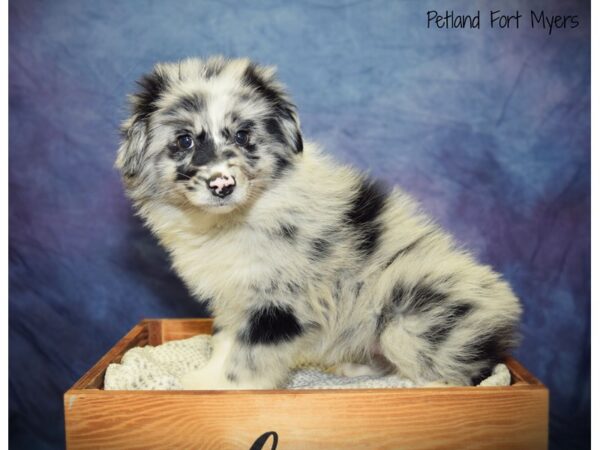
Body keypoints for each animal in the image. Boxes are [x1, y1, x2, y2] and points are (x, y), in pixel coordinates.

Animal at [116, 56, 520, 388]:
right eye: (184, 140)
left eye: (244, 135)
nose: (222, 184)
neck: (232, 219)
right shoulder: (237, 297)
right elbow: (225, 345)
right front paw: (205, 378)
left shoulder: (279, 302)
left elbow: (245, 358)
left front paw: (216, 390)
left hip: (410, 312)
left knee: (459, 372)